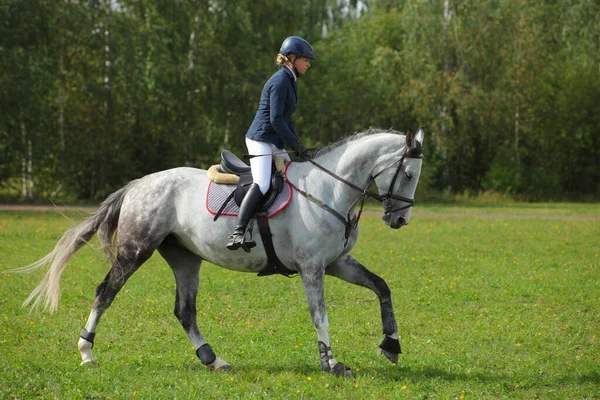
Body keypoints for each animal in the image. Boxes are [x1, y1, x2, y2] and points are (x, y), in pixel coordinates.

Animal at [12, 129, 426, 378]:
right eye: (408, 174)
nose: (400, 219)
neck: (329, 189)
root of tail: (139, 184)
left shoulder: (336, 263)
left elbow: (381, 286)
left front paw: (391, 345)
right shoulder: (313, 268)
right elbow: (319, 315)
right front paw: (331, 363)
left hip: (184, 257)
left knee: (184, 310)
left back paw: (213, 359)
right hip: (135, 251)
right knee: (105, 293)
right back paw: (86, 351)